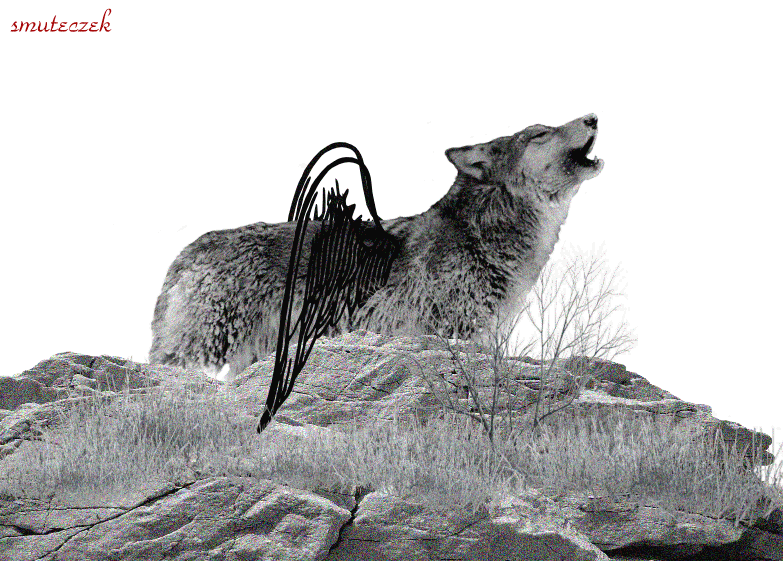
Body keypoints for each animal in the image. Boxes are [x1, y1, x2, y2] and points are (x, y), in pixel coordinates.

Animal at [147, 113, 604, 381]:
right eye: (540, 134)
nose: (593, 116)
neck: (484, 240)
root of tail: (185, 252)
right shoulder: (452, 334)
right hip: (202, 347)